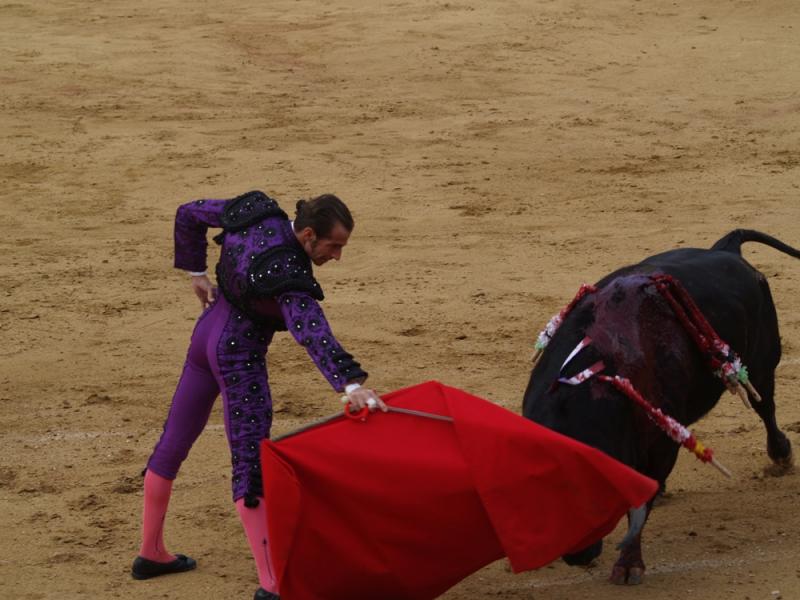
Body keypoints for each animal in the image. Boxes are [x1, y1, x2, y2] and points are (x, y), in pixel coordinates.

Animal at [520, 229, 796, 580]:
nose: (579, 557)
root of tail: (726, 248)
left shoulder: (661, 445)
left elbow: (640, 505)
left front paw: (629, 565)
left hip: (761, 362)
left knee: (766, 407)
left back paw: (782, 456)